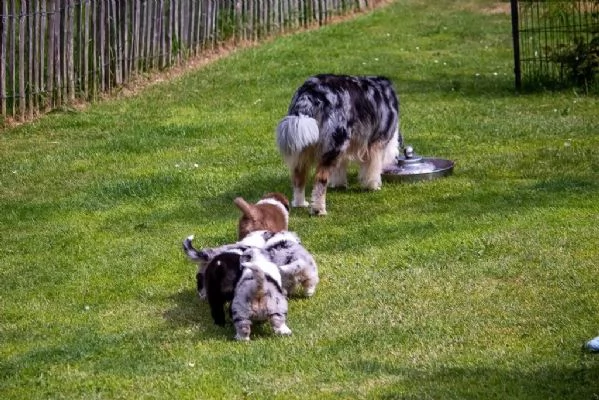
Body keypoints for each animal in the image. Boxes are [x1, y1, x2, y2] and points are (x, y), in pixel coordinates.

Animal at [276, 73, 404, 214]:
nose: (396, 159)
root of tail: (310, 93)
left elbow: (339, 169)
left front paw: (339, 184)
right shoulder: (376, 143)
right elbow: (372, 168)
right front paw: (373, 186)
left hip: (305, 143)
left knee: (298, 175)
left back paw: (300, 203)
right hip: (335, 141)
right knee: (320, 178)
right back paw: (319, 209)